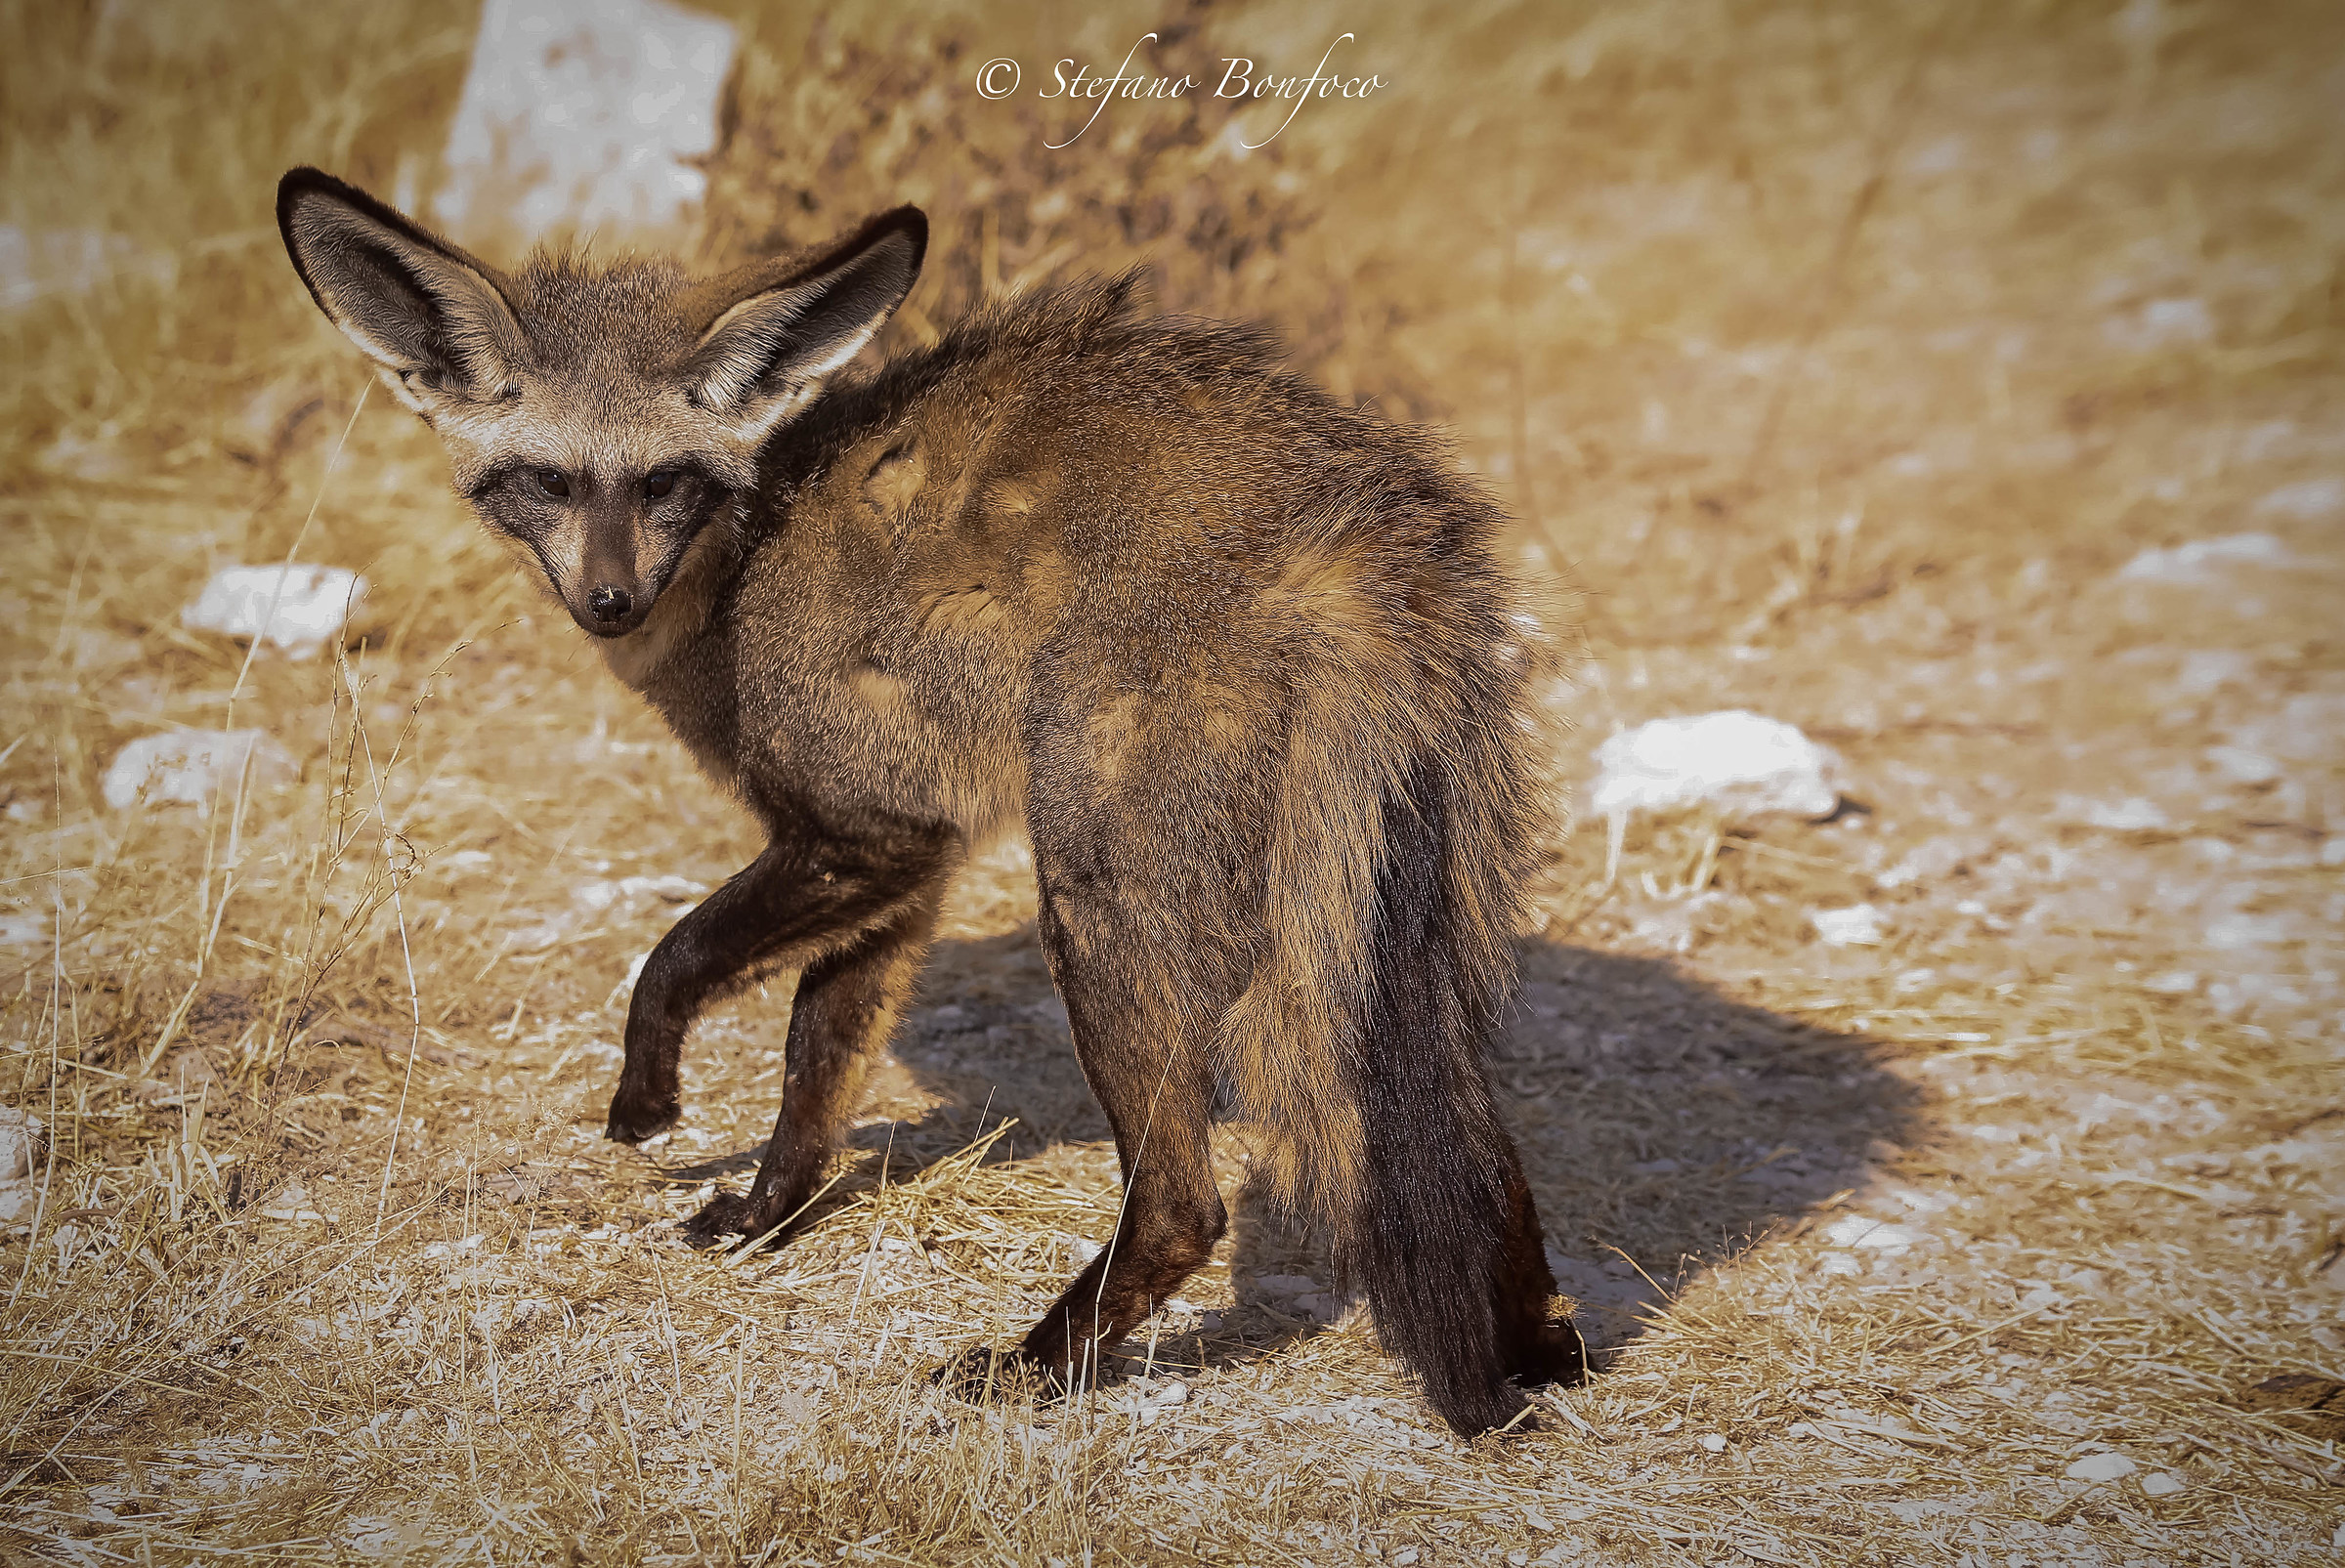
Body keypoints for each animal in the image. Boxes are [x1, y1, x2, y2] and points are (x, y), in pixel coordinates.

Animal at [275, 166, 1586, 1435]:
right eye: (547, 481)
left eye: (663, 485)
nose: (609, 604)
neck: (745, 564)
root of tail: (1365, 514)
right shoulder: (907, 870)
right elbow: (814, 1067)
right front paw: (763, 1219)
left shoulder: (868, 834)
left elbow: (671, 960)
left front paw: (646, 1103)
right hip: (1382, 938)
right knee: (1475, 1152)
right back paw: (1538, 1357)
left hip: (1109, 915)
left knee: (1185, 1205)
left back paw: (1037, 1365)